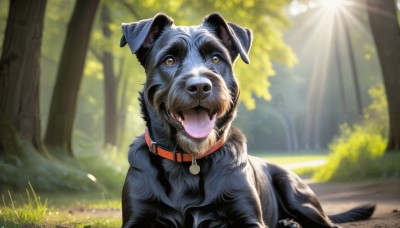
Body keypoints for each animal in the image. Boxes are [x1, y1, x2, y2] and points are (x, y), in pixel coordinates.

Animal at [119, 13, 376, 227]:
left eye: (216, 58)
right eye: (169, 60)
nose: (200, 86)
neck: (188, 161)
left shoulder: (248, 217)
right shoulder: (136, 218)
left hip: (294, 191)